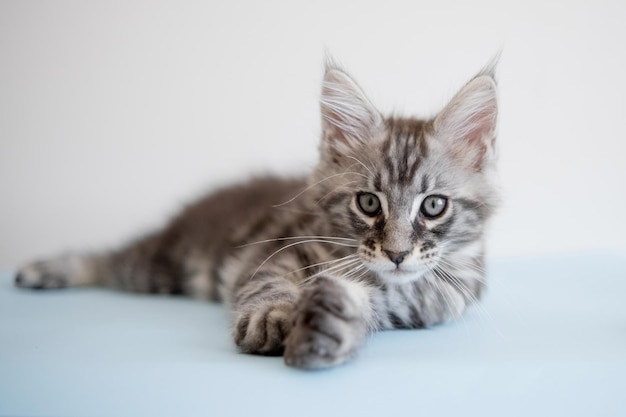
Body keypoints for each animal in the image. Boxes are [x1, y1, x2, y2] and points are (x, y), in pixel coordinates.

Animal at [13, 57, 498, 368]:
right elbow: (267, 283)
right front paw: (272, 318)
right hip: (161, 265)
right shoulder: (281, 248)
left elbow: (370, 305)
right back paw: (46, 270)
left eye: (433, 206)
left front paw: (331, 328)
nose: (396, 254)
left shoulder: (432, 299)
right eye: (368, 202)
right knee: (109, 259)